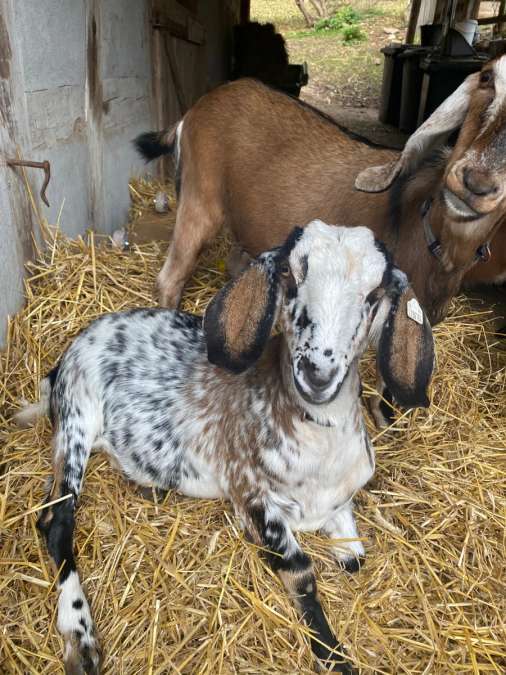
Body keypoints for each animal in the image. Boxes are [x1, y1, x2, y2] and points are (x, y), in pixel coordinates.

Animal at [16, 222, 434, 674]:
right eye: (290, 277)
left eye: (374, 295)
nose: (317, 372)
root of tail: (64, 360)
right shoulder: (250, 494)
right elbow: (301, 572)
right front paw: (333, 654)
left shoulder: (340, 499)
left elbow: (356, 557)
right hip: (77, 414)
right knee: (56, 520)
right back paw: (81, 638)